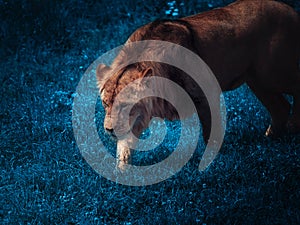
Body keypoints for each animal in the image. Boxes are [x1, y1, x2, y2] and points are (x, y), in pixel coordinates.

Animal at [97, 0, 298, 169]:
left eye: (124, 105)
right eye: (105, 103)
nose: (109, 130)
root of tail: (290, 10)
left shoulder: (205, 93)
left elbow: (210, 133)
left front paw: (212, 162)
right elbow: (125, 145)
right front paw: (122, 173)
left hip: (271, 75)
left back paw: (293, 126)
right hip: (257, 81)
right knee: (281, 107)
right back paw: (270, 139)